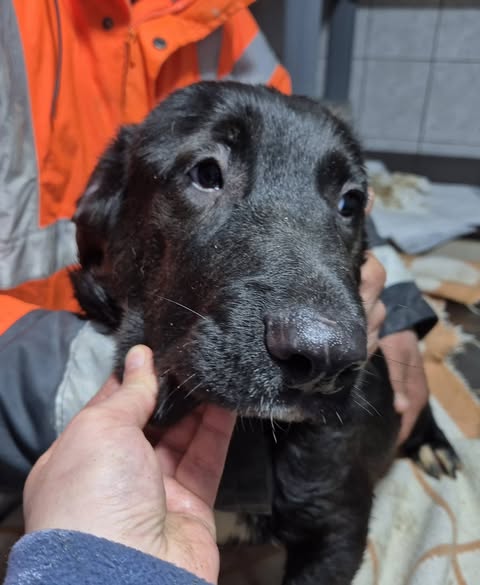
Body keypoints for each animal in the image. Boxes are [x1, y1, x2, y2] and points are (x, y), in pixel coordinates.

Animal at [71, 81, 460, 585]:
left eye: (351, 202)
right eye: (206, 172)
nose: (326, 360)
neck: (248, 431)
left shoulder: (339, 524)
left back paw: (435, 445)